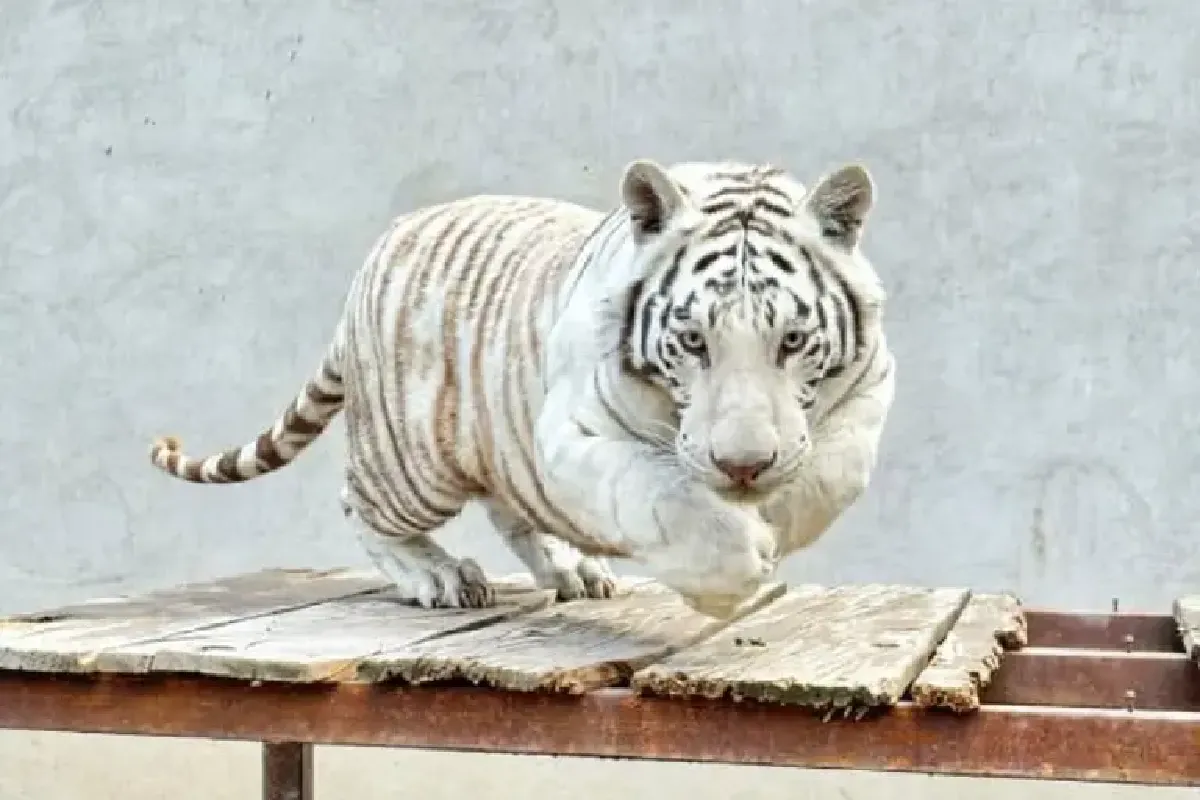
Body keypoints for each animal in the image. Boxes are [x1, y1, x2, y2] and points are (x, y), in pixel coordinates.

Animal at [149, 158, 895, 619]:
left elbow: (836, 470)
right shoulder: (570, 432)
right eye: (691, 342)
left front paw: (777, 516)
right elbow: (665, 497)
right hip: (415, 462)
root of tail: (383, 246)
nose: (742, 467)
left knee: (513, 508)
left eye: (792, 341)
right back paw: (436, 576)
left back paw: (575, 571)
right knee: (358, 503)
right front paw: (729, 573)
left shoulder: (871, 385)